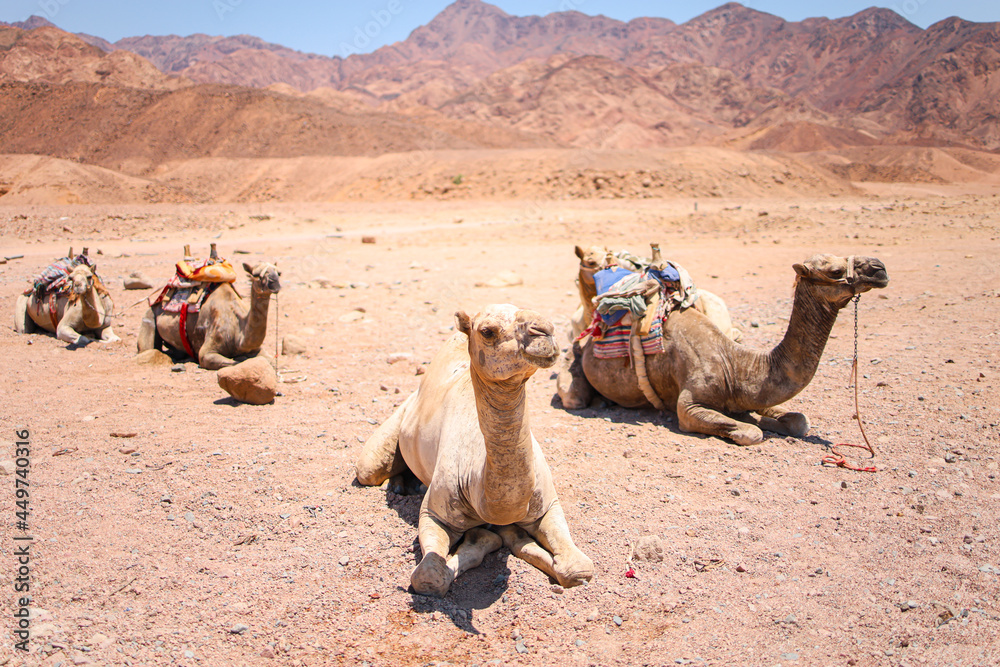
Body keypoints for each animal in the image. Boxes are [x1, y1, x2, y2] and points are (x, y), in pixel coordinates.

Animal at [137, 262, 280, 370]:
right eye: (256, 275)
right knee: (147, 348)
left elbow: (271, 362)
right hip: (150, 315)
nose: (275, 284)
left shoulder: (256, 349)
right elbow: (234, 363)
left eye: (278, 273)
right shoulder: (207, 351)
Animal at [356, 304, 594, 597]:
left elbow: (578, 568)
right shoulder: (434, 513)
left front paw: (514, 537)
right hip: (392, 428)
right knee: (369, 470)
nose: (545, 331)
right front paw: (484, 538)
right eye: (488, 331)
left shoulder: (548, 504)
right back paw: (401, 485)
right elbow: (429, 576)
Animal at [560, 254, 889, 446]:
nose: (879, 268)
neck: (738, 364)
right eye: (835, 271)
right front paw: (755, 424)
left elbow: (798, 422)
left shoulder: (752, 393)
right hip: (573, 367)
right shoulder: (688, 406)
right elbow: (751, 432)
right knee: (575, 396)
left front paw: (769, 419)